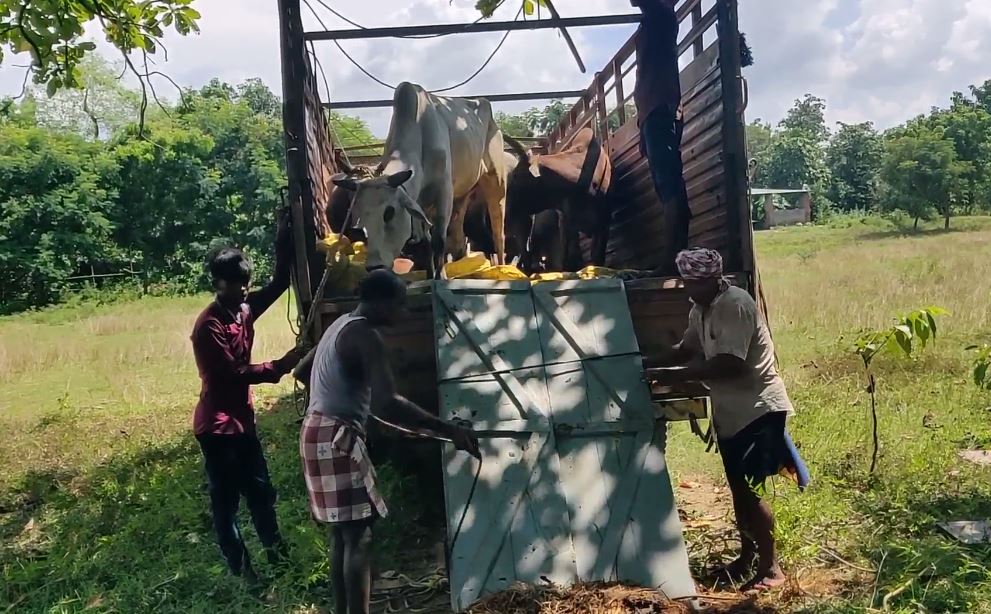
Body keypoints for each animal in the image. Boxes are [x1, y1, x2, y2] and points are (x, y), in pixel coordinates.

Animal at [332, 82, 508, 280]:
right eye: (358, 214)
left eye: (389, 213)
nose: (374, 266)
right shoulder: (420, 201)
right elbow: (426, 242)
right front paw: (431, 274)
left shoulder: (444, 192)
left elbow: (439, 239)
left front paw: (440, 278)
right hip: (463, 194)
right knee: (459, 234)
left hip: (496, 181)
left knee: (498, 231)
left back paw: (502, 268)